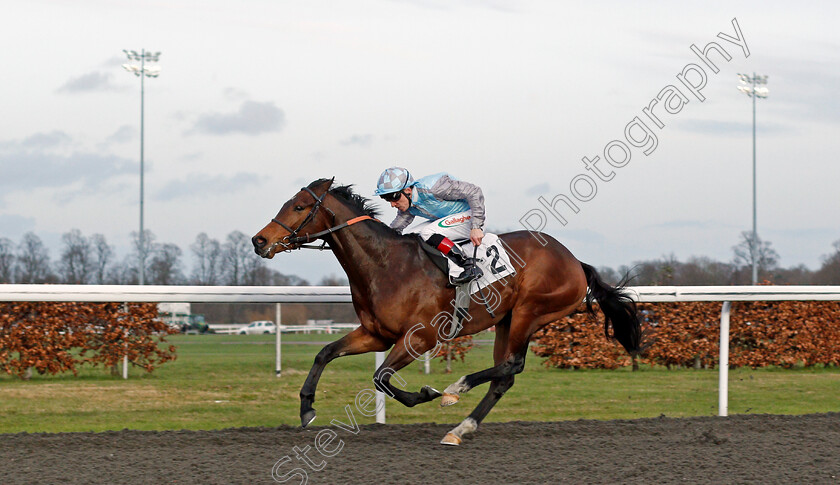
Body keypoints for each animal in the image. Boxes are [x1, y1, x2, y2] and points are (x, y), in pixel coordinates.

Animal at [251, 179, 644, 446]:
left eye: (300, 207)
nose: (259, 240)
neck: (386, 265)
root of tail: (575, 262)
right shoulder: (376, 334)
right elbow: (325, 353)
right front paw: (306, 408)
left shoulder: (420, 337)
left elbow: (381, 377)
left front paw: (426, 394)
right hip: (506, 320)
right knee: (505, 376)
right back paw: (461, 427)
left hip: (530, 312)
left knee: (511, 365)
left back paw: (456, 388)